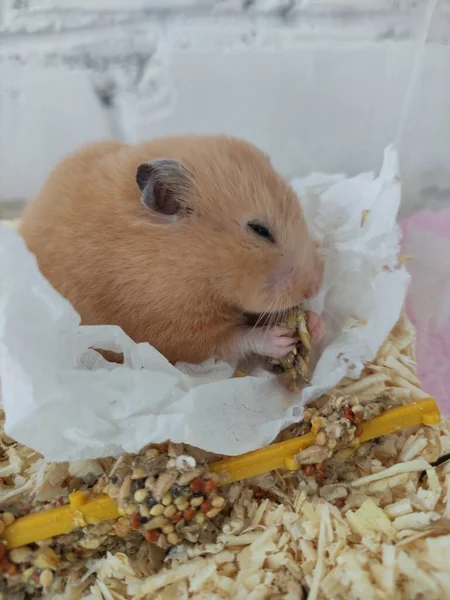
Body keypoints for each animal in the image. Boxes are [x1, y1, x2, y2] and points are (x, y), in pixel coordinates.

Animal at [20, 136, 324, 364]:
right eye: (259, 230)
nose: (314, 288)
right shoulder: (174, 329)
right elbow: (232, 340)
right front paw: (280, 339)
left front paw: (315, 323)